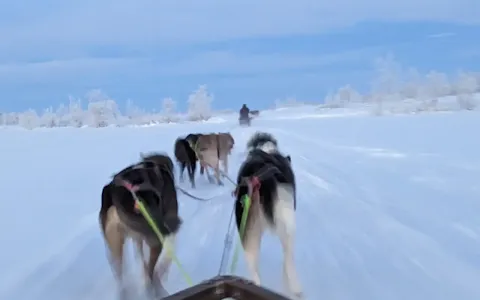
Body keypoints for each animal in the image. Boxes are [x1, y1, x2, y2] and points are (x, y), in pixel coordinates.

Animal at [98, 152, 181, 296]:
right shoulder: (167, 227)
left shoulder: (138, 238)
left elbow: (141, 259)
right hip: (155, 238)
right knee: (151, 270)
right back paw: (155, 288)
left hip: (114, 247)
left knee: (122, 277)